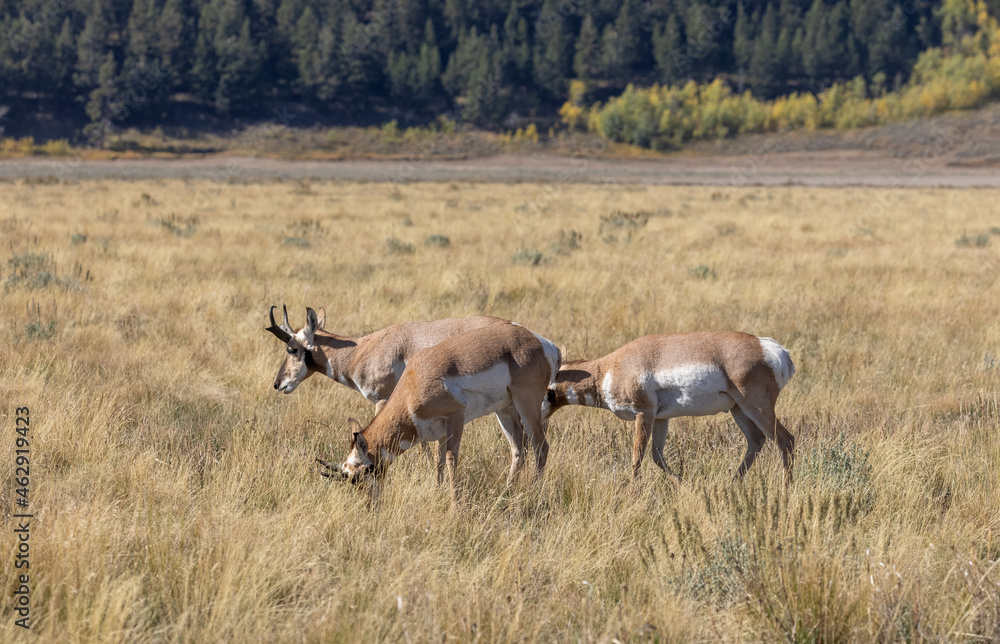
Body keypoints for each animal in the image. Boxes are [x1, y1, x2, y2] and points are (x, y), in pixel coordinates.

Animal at [316, 323, 561, 500]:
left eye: (363, 472)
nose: (370, 503)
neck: (415, 380)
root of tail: (544, 344)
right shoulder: (440, 431)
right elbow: (438, 460)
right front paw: (437, 492)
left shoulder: (456, 418)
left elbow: (452, 458)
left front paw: (455, 503)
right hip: (505, 411)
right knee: (519, 449)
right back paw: (506, 492)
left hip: (526, 405)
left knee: (541, 446)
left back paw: (535, 492)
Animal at [541, 332, 796, 481]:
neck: (609, 368)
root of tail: (772, 348)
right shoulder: (661, 419)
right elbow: (657, 456)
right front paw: (684, 486)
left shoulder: (643, 414)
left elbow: (637, 457)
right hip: (739, 410)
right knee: (757, 441)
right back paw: (731, 484)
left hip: (756, 407)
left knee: (786, 440)